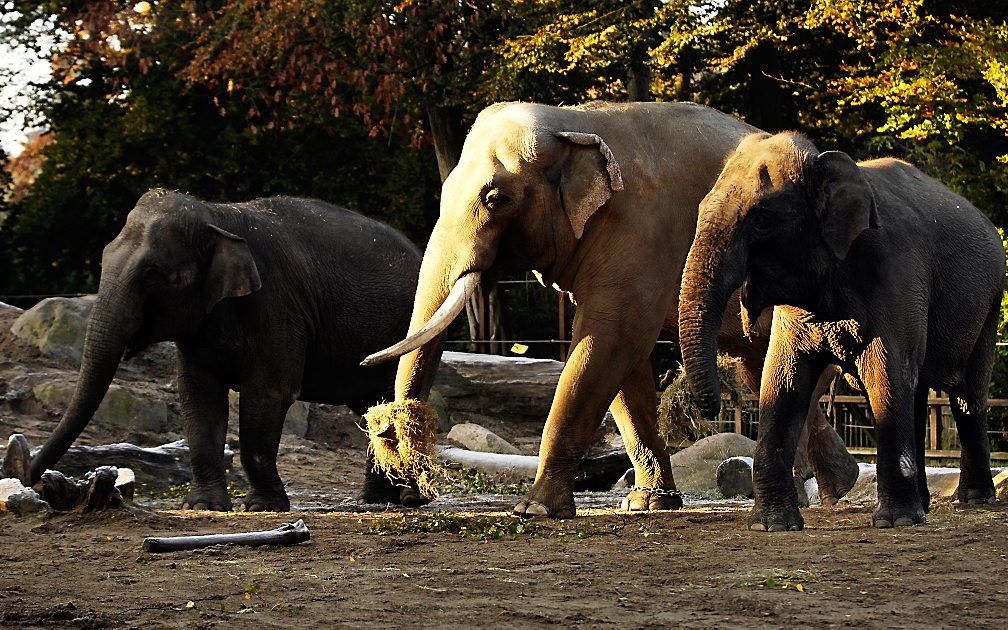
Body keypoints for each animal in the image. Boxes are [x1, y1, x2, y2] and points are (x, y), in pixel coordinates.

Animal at [26, 187, 421, 512]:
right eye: (103, 260)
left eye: (152, 273)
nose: (37, 483)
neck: (216, 214)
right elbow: (199, 396)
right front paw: (204, 506)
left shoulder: (276, 304)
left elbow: (267, 394)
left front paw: (262, 507)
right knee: (375, 407)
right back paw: (377, 499)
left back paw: (401, 499)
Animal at [362, 101, 858, 516]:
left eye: (494, 198)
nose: (411, 491)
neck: (574, 121)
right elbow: (625, 362)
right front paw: (646, 505)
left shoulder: (640, 232)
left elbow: (610, 339)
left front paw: (535, 509)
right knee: (763, 367)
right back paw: (838, 487)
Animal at [677, 131, 1008, 532]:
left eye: (762, 219)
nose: (709, 408)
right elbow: (782, 381)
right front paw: (771, 526)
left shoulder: (896, 271)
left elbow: (886, 371)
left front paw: (894, 522)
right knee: (917, 392)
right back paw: (925, 506)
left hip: (990, 304)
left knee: (965, 395)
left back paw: (972, 500)